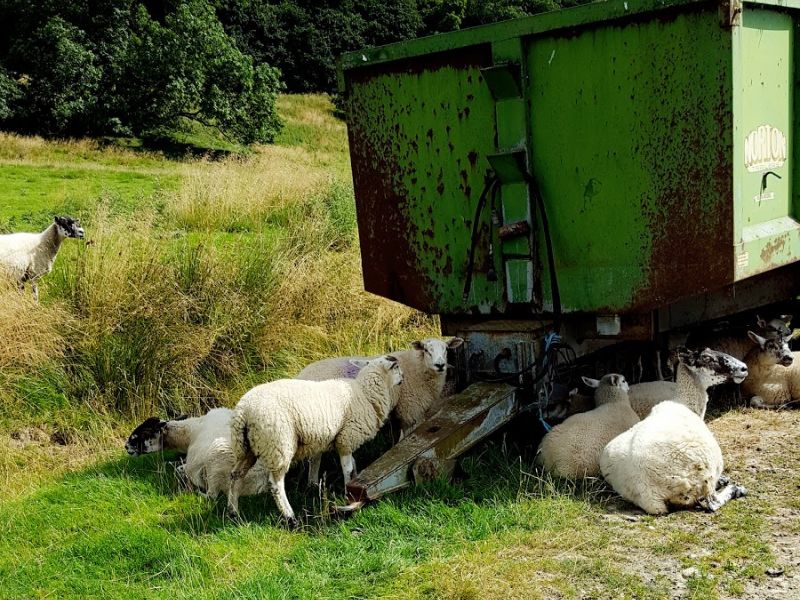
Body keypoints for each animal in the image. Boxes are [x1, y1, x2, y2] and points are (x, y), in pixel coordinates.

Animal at [125, 409, 269, 502]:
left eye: (145, 433)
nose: (126, 446)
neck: (190, 430)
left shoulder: (193, 464)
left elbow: (178, 470)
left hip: (216, 463)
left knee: (212, 496)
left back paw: (196, 493)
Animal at [228, 355, 403, 525]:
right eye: (395, 367)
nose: (403, 377)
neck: (365, 394)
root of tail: (244, 411)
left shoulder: (340, 439)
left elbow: (349, 463)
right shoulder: (346, 438)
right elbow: (347, 468)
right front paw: (349, 493)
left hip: (247, 447)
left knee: (235, 475)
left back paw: (233, 513)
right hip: (278, 444)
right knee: (275, 485)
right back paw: (290, 518)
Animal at [295, 337, 463, 487]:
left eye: (446, 349)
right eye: (427, 350)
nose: (440, 365)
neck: (418, 367)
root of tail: (301, 375)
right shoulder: (410, 411)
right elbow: (408, 440)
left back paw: (313, 485)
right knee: (315, 457)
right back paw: (314, 483)